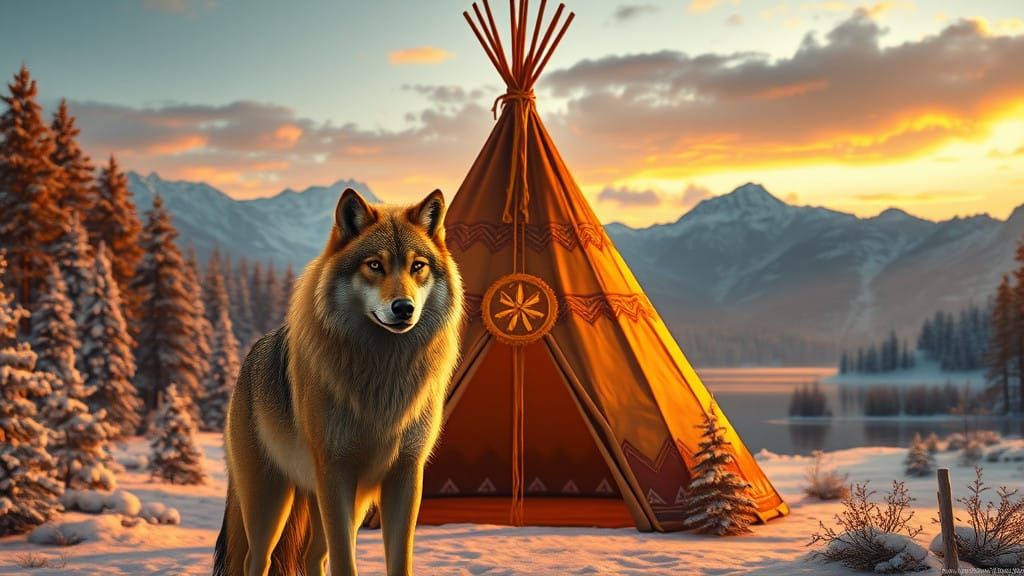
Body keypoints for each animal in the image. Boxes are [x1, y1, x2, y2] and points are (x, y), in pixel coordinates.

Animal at [213, 188, 464, 576]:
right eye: (374, 265)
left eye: (417, 266)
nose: (404, 308)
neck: (383, 378)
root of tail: (250, 357)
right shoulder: (336, 473)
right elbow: (345, 561)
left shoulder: (405, 474)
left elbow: (399, 561)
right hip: (271, 502)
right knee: (255, 560)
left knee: (312, 556)